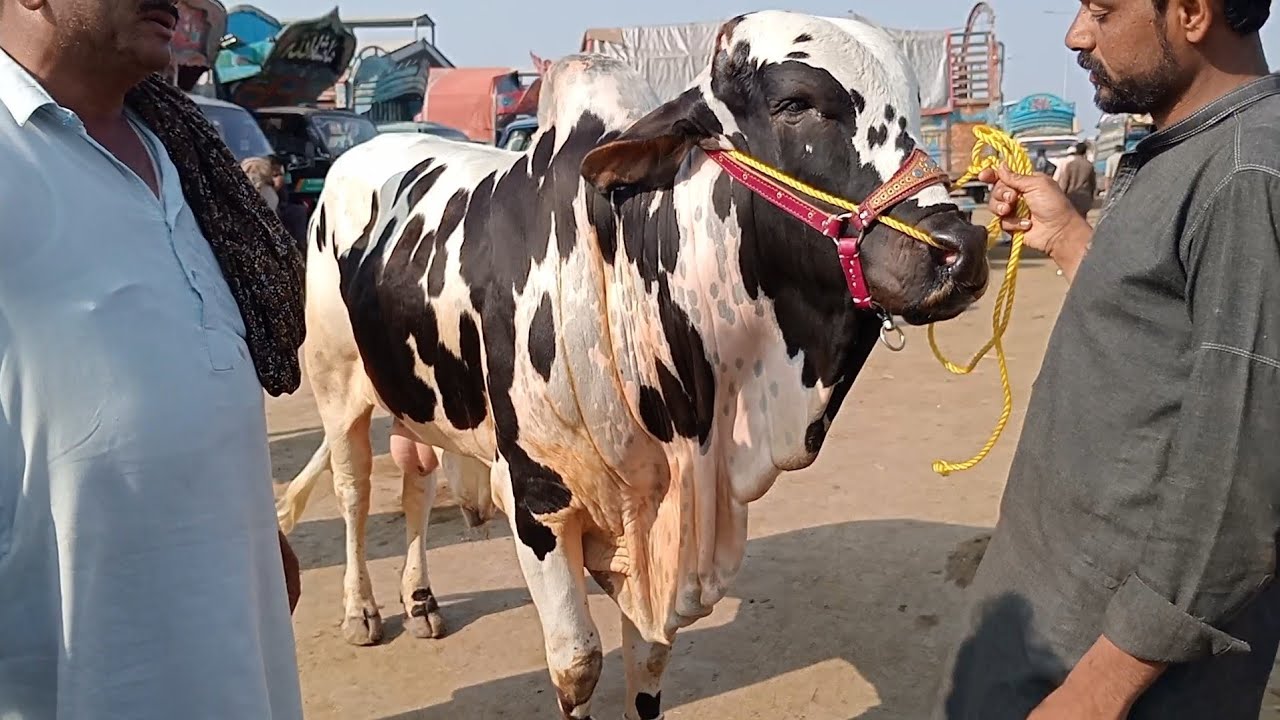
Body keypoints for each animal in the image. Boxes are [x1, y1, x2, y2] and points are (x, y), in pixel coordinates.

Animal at [277, 10, 990, 719]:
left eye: (919, 109)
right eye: (794, 104)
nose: (961, 248)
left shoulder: (651, 530)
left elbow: (647, 660)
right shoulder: (536, 501)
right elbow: (578, 664)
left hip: (416, 400)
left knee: (417, 484)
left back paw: (421, 599)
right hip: (338, 388)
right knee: (354, 493)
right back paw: (362, 610)